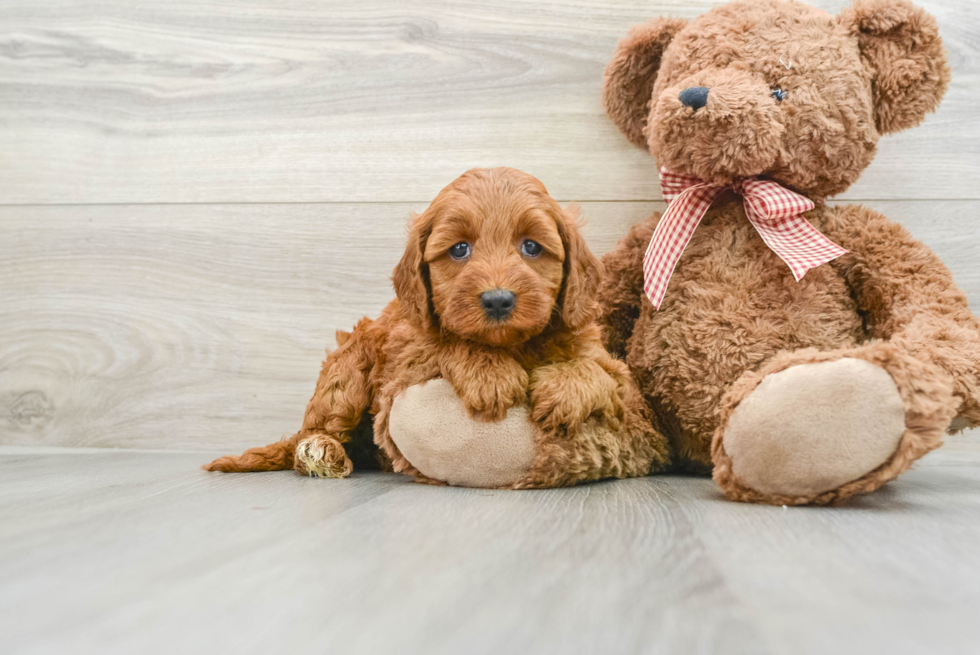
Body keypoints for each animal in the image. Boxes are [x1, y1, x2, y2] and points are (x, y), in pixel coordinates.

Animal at [205, 168, 668, 486]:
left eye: (531, 246)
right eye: (459, 249)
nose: (497, 299)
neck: (512, 344)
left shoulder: (617, 373)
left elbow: (600, 373)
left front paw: (563, 389)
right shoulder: (406, 351)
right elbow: (449, 343)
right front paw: (490, 374)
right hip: (348, 368)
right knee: (314, 428)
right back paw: (321, 449)